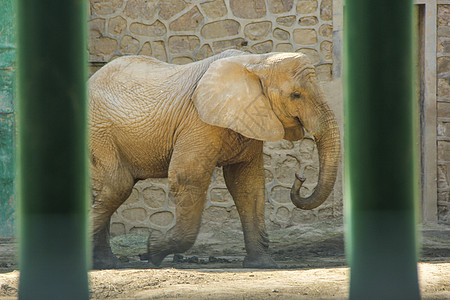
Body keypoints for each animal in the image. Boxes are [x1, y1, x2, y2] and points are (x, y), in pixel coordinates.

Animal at [89, 49, 342, 270]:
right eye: (296, 95)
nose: (300, 177)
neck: (258, 60)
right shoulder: (197, 122)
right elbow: (188, 177)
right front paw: (152, 251)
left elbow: (247, 184)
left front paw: (263, 265)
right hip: (100, 132)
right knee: (117, 185)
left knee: (107, 189)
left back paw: (106, 264)